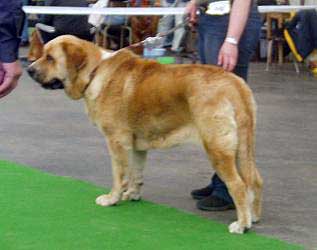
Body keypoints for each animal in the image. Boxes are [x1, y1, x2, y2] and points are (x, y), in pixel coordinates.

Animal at [28, 34, 262, 233]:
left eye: (49, 58)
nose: (29, 70)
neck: (95, 72)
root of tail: (234, 83)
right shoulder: (137, 145)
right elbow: (136, 173)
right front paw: (132, 194)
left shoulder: (116, 142)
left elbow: (119, 174)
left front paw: (112, 198)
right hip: (242, 148)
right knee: (255, 180)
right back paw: (254, 217)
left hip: (217, 148)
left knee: (238, 185)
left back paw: (242, 225)